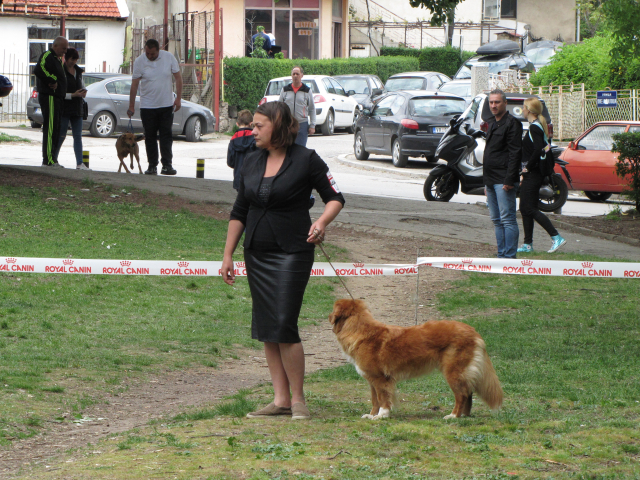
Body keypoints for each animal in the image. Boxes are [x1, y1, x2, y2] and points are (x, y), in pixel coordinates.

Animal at [330, 300, 504, 420]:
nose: (328, 316)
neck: (359, 330)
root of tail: (473, 331)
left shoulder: (380, 379)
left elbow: (382, 399)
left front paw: (382, 415)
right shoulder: (371, 380)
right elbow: (374, 400)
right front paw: (372, 415)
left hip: (453, 372)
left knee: (461, 394)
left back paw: (453, 416)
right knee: (468, 392)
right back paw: (464, 415)